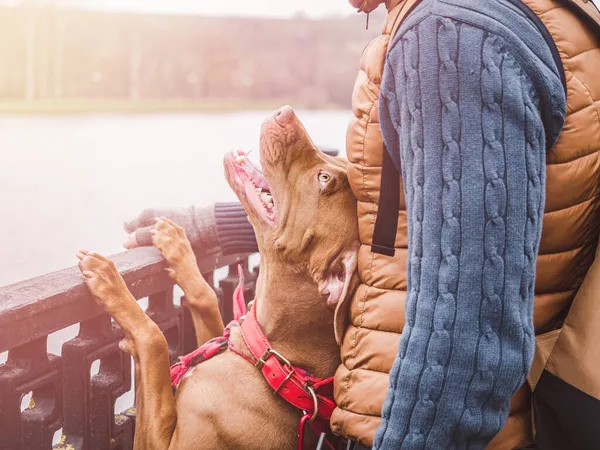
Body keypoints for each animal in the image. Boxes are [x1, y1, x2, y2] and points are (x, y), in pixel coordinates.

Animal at [74, 106, 356, 450]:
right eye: (337, 169)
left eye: (324, 178)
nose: (285, 112)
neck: (268, 358)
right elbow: (206, 298)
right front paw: (178, 244)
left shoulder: (163, 442)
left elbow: (155, 339)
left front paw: (110, 281)